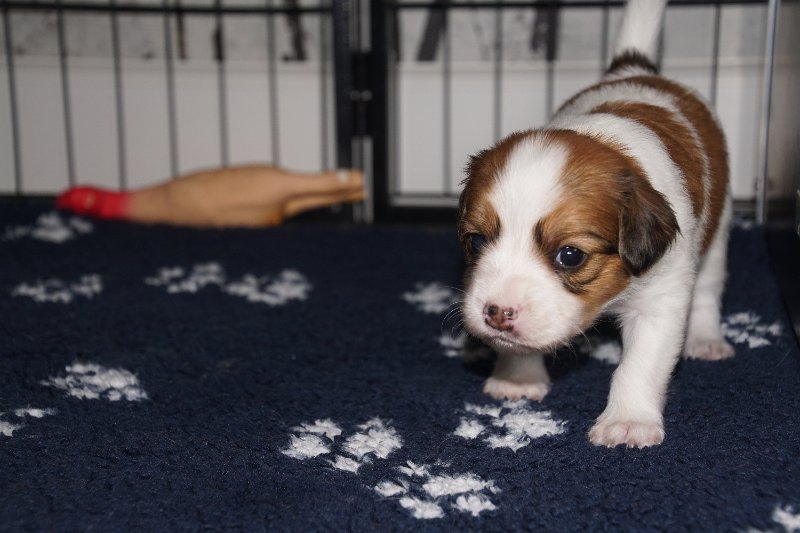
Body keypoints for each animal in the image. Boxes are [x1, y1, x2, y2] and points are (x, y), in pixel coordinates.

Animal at [457, 0, 732, 448]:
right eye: (477, 242)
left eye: (570, 256)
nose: (497, 313)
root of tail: (634, 67)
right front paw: (518, 378)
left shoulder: (662, 298)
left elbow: (639, 365)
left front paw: (628, 421)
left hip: (720, 230)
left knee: (709, 287)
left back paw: (706, 339)